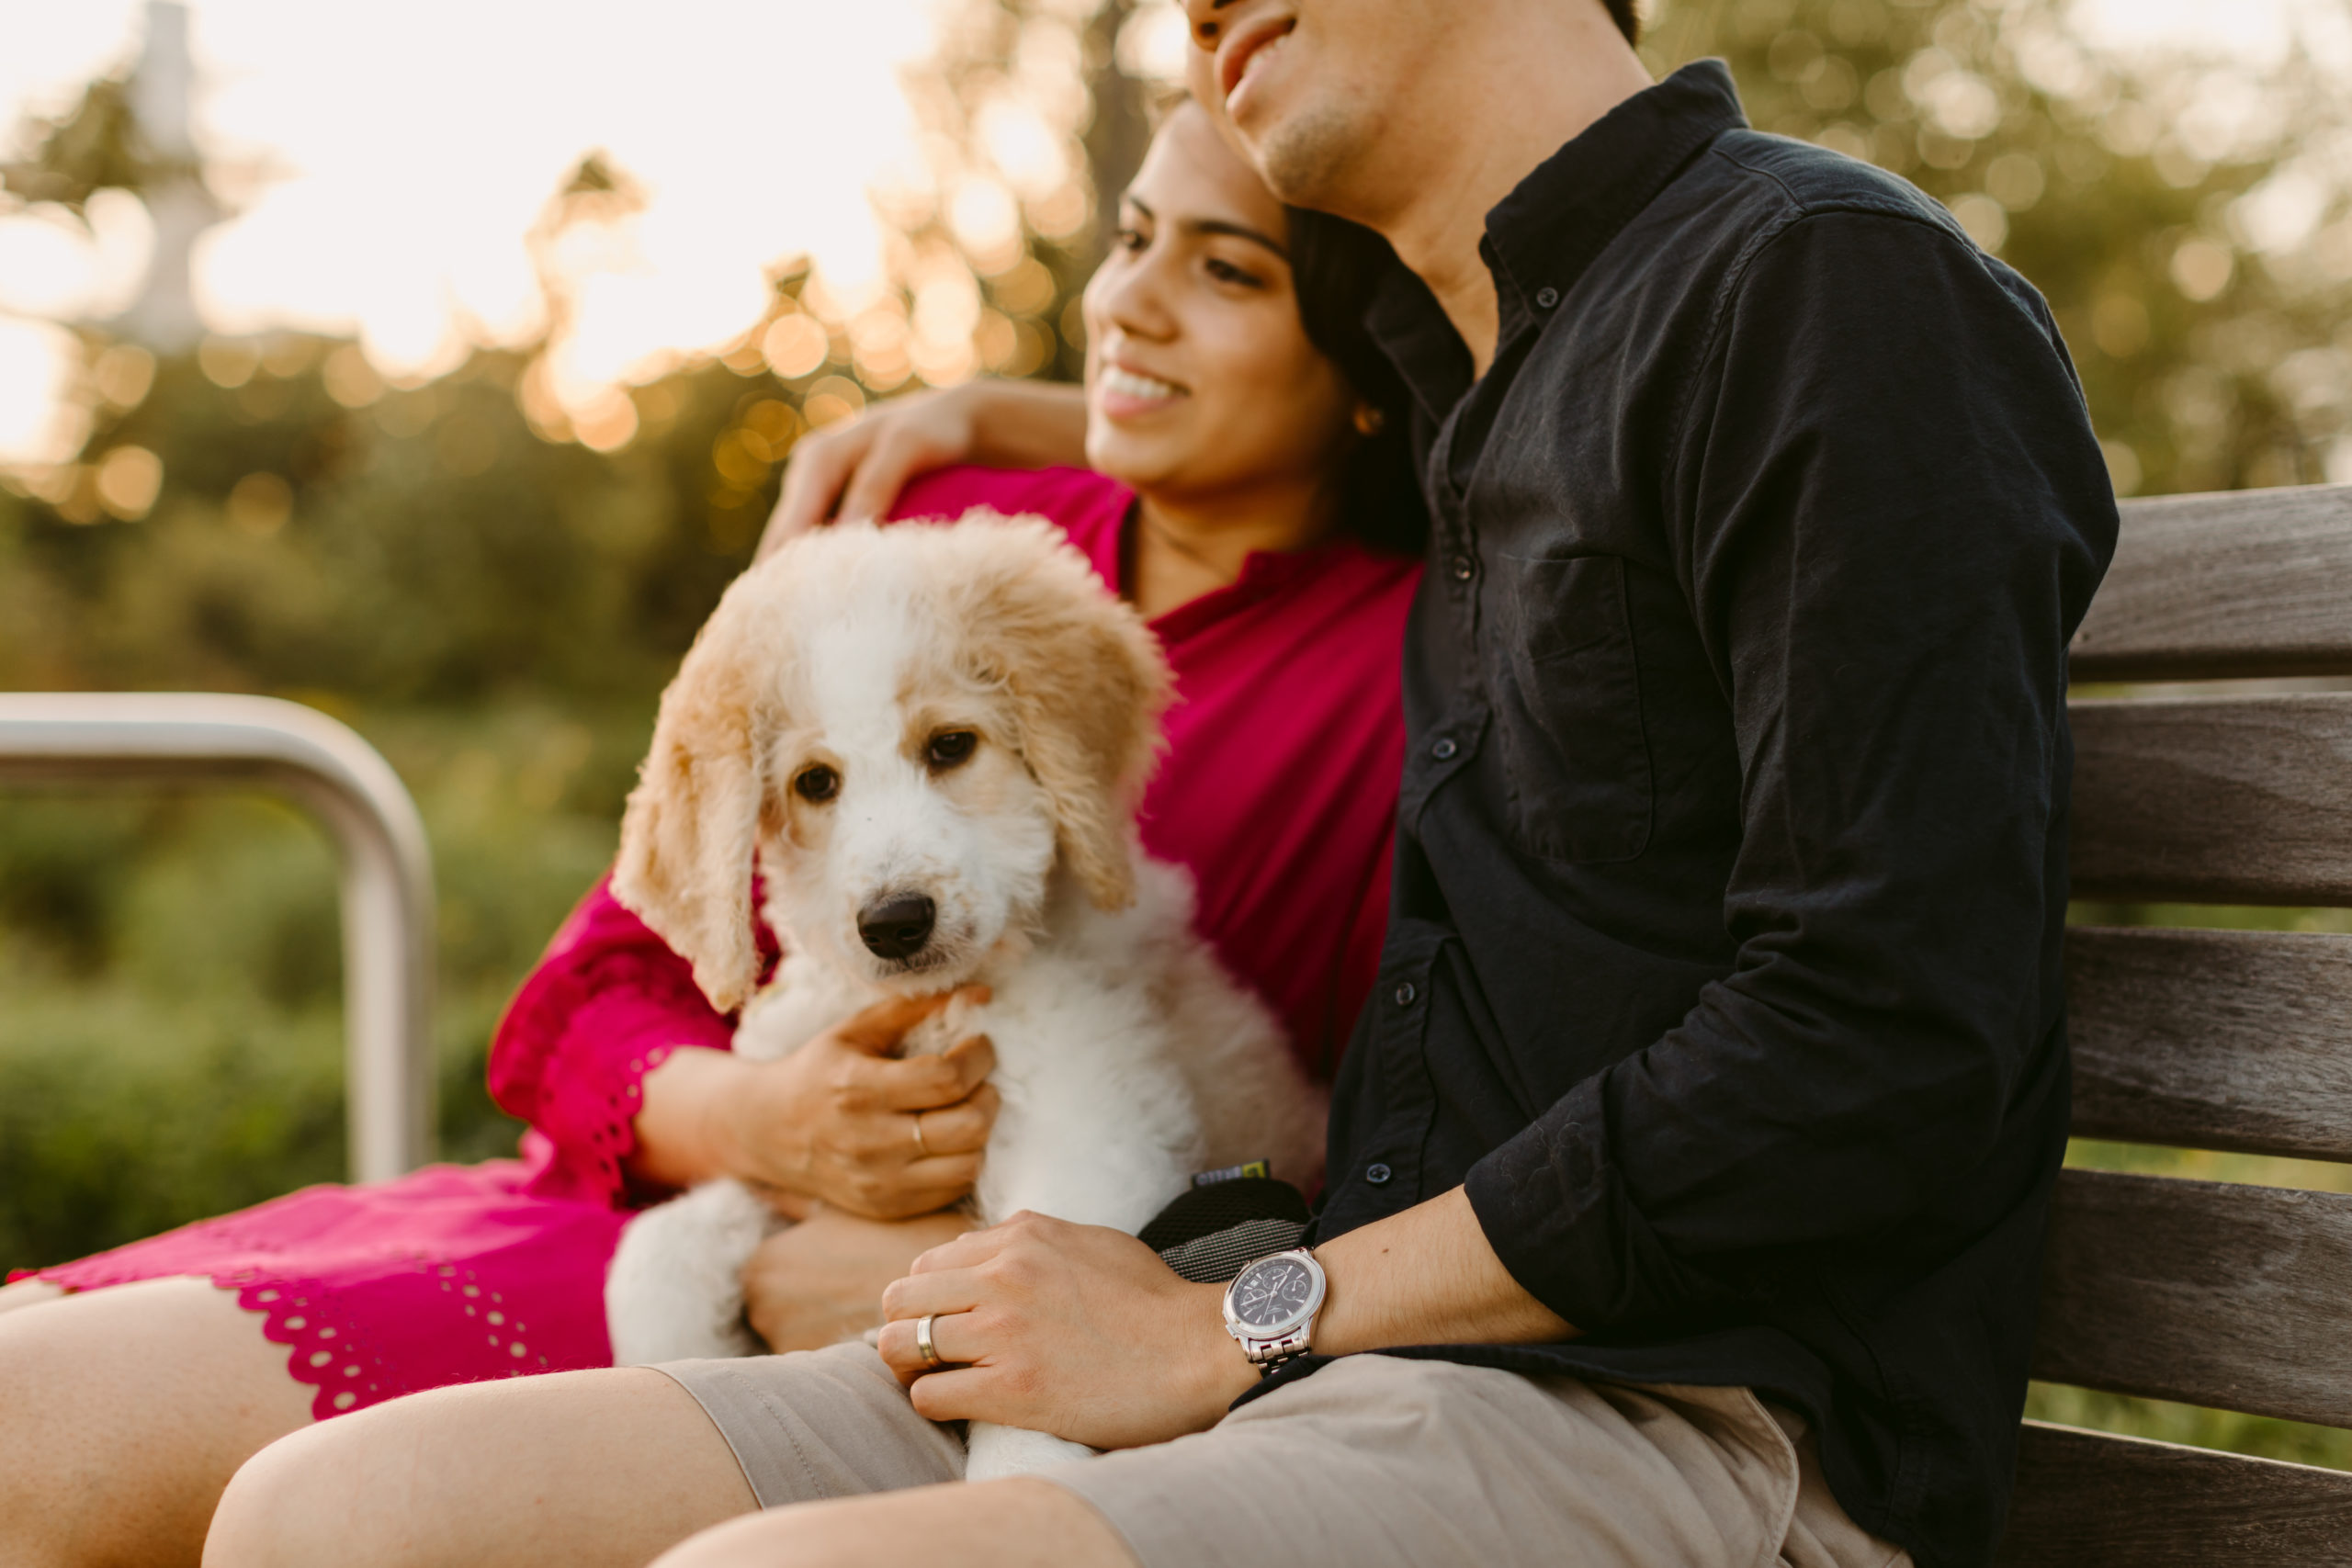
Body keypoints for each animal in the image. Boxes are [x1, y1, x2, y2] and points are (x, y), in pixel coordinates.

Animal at [597, 514, 1326, 1485]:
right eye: (815, 782)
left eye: (950, 745)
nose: (895, 921)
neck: (940, 1008)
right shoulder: (795, 1156)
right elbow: (655, 1249)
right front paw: (669, 1354)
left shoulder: (1086, 1131)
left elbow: (1023, 1313)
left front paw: (1015, 1478)